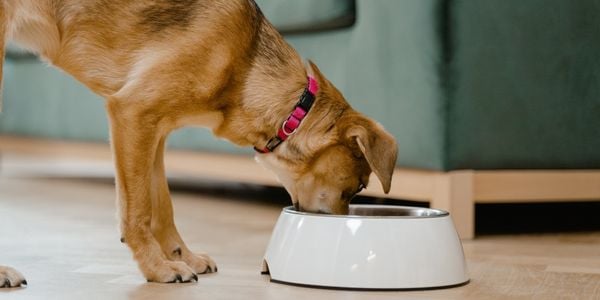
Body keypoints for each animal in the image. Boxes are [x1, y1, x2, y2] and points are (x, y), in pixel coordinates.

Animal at [0, 0, 398, 286]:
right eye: (356, 187)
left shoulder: (153, 132)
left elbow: (162, 206)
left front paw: (181, 257)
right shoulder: (132, 112)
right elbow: (138, 210)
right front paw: (157, 269)